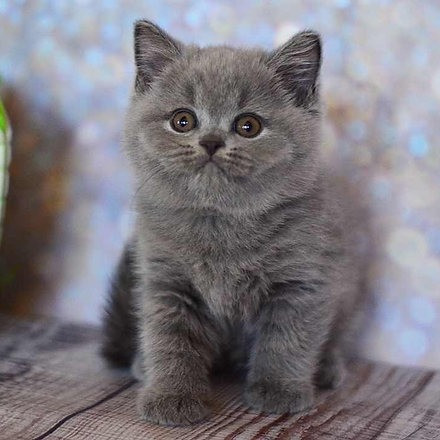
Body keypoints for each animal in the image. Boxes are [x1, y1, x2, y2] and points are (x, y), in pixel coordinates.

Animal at [101, 20, 366, 426]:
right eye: (183, 120)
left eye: (248, 126)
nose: (211, 141)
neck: (220, 222)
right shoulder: (166, 281)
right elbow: (170, 340)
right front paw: (172, 397)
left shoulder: (303, 280)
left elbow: (287, 339)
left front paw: (278, 390)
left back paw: (325, 369)